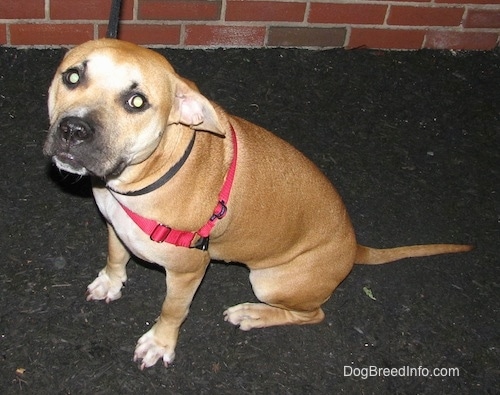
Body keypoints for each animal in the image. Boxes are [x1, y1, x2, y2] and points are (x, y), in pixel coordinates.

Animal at [44, 38, 472, 370]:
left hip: (271, 282)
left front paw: (160, 343)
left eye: (136, 101)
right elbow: (116, 255)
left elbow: (172, 311)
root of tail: (354, 248)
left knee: (312, 314)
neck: (148, 174)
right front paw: (110, 281)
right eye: (73, 76)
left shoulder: (187, 272)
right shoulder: (115, 224)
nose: (73, 130)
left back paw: (253, 313)